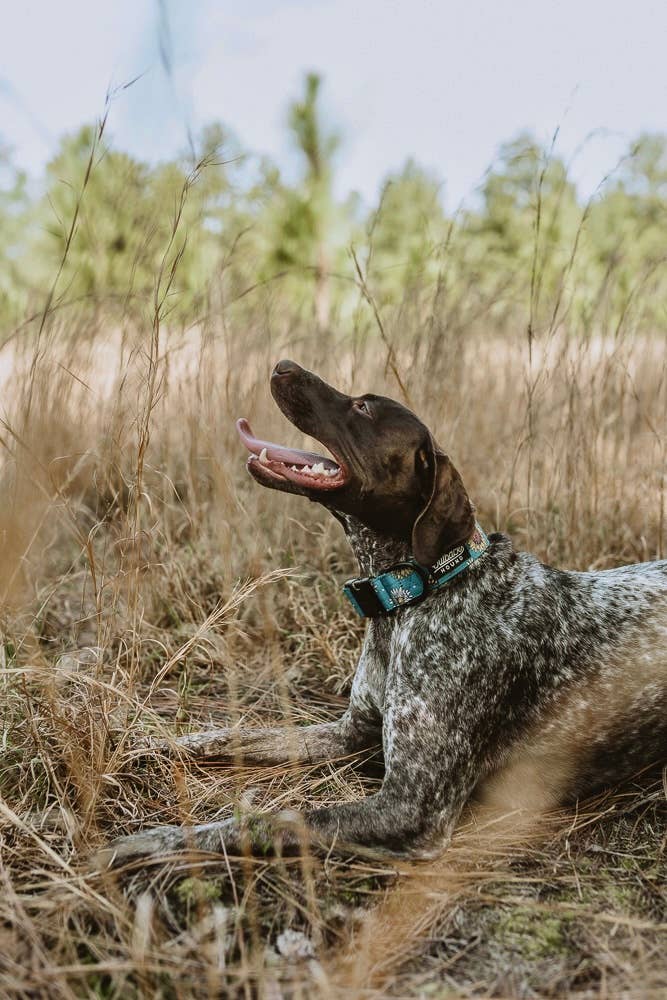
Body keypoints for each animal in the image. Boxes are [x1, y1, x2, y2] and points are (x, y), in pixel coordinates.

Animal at [103, 362, 667, 868]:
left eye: (364, 408)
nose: (282, 365)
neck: (413, 593)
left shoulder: (411, 806)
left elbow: (268, 821)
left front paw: (153, 841)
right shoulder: (349, 731)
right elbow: (232, 736)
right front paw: (143, 744)